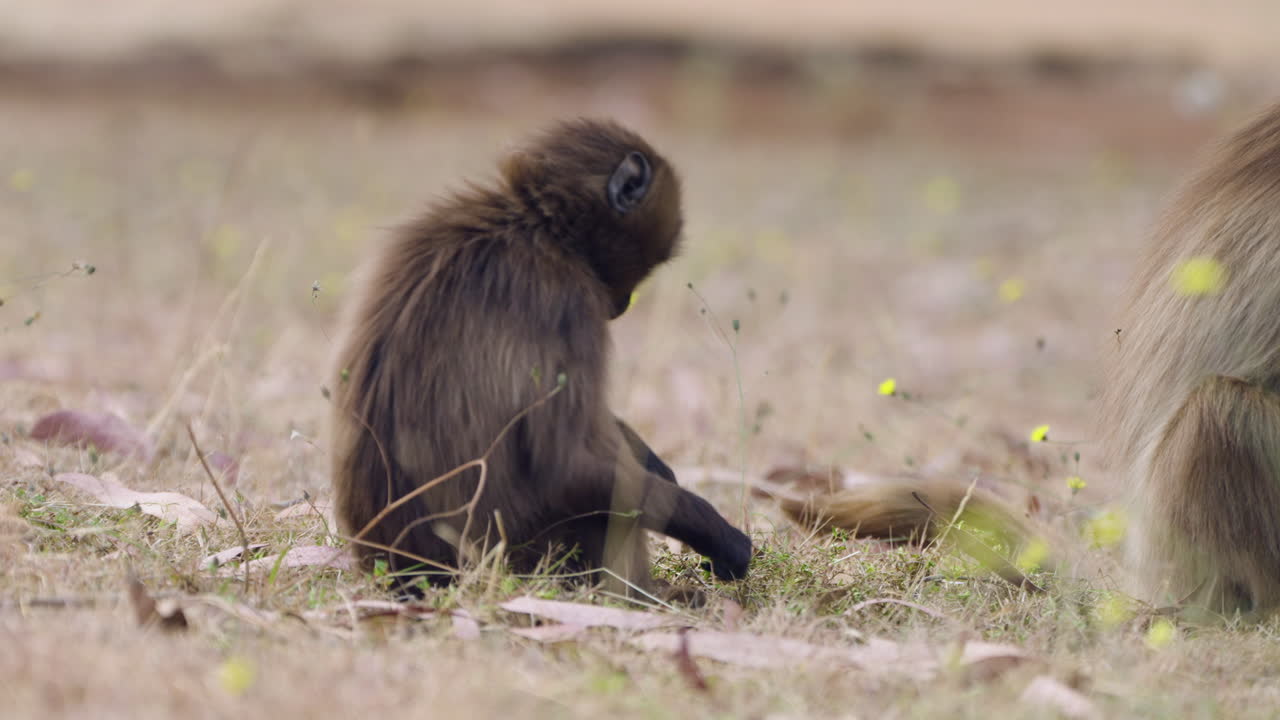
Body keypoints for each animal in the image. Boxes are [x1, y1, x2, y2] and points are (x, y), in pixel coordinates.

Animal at [327, 118, 752, 598]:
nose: (623, 303)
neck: (539, 225)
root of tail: (408, 573)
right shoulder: (566, 298)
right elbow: (566, 470)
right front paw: (720, 537)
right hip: (519, 556)